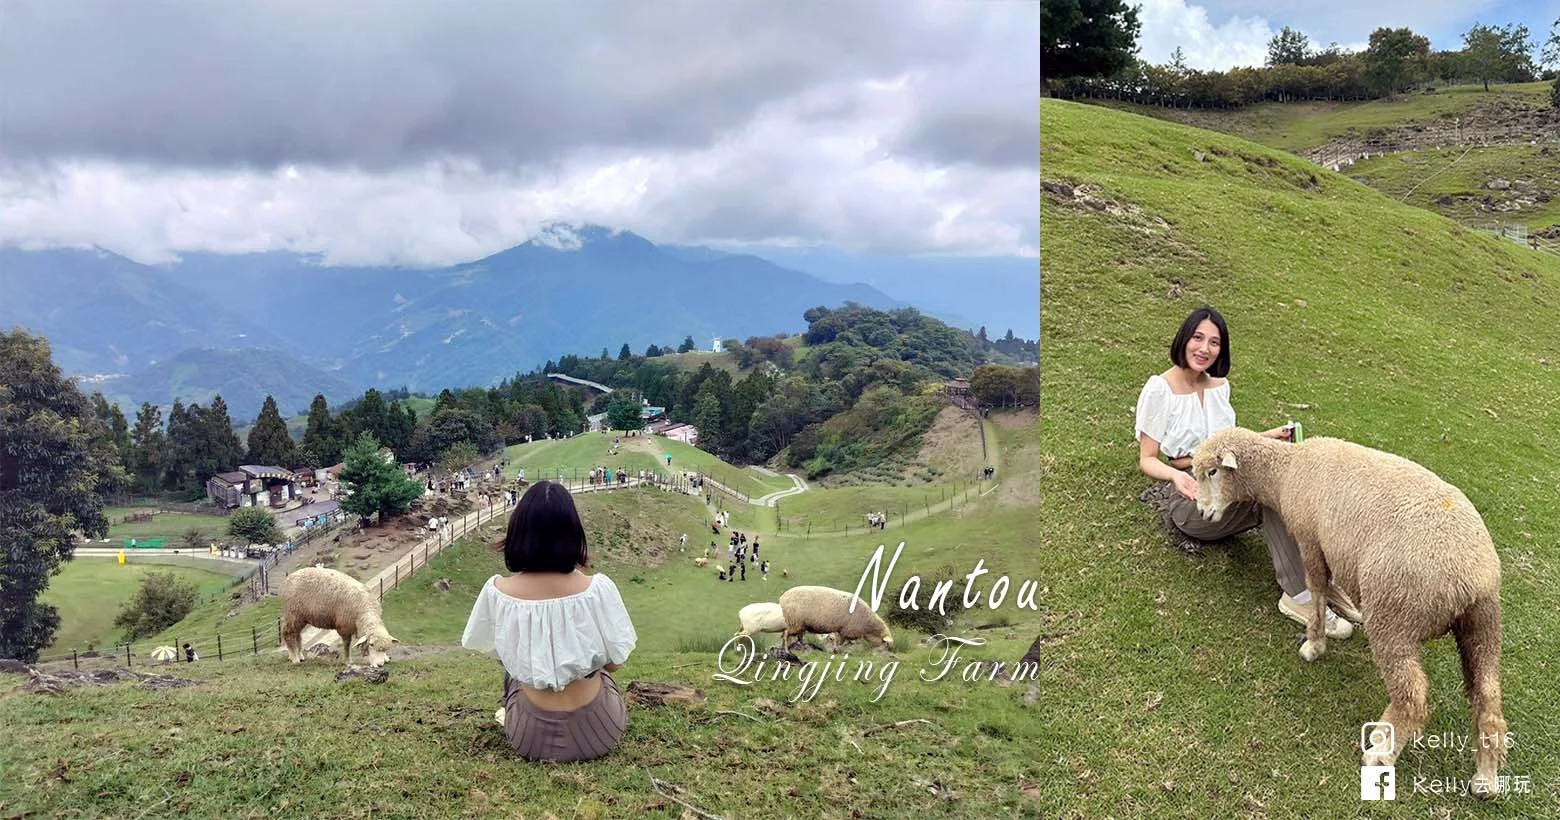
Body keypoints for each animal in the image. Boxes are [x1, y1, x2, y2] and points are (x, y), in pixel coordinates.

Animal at [1185, 427, 1503, 798]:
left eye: (1212, 472)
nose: (1202, 512)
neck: (1285, 472)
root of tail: (1472, 579)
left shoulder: (1310, 539)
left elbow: (1317, 588)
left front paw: (1315, 643)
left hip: (1394, 614)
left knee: (1412, 695)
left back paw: (1381, 751)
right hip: (1482, 625)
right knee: (1487, 696)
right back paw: (1485, 777)